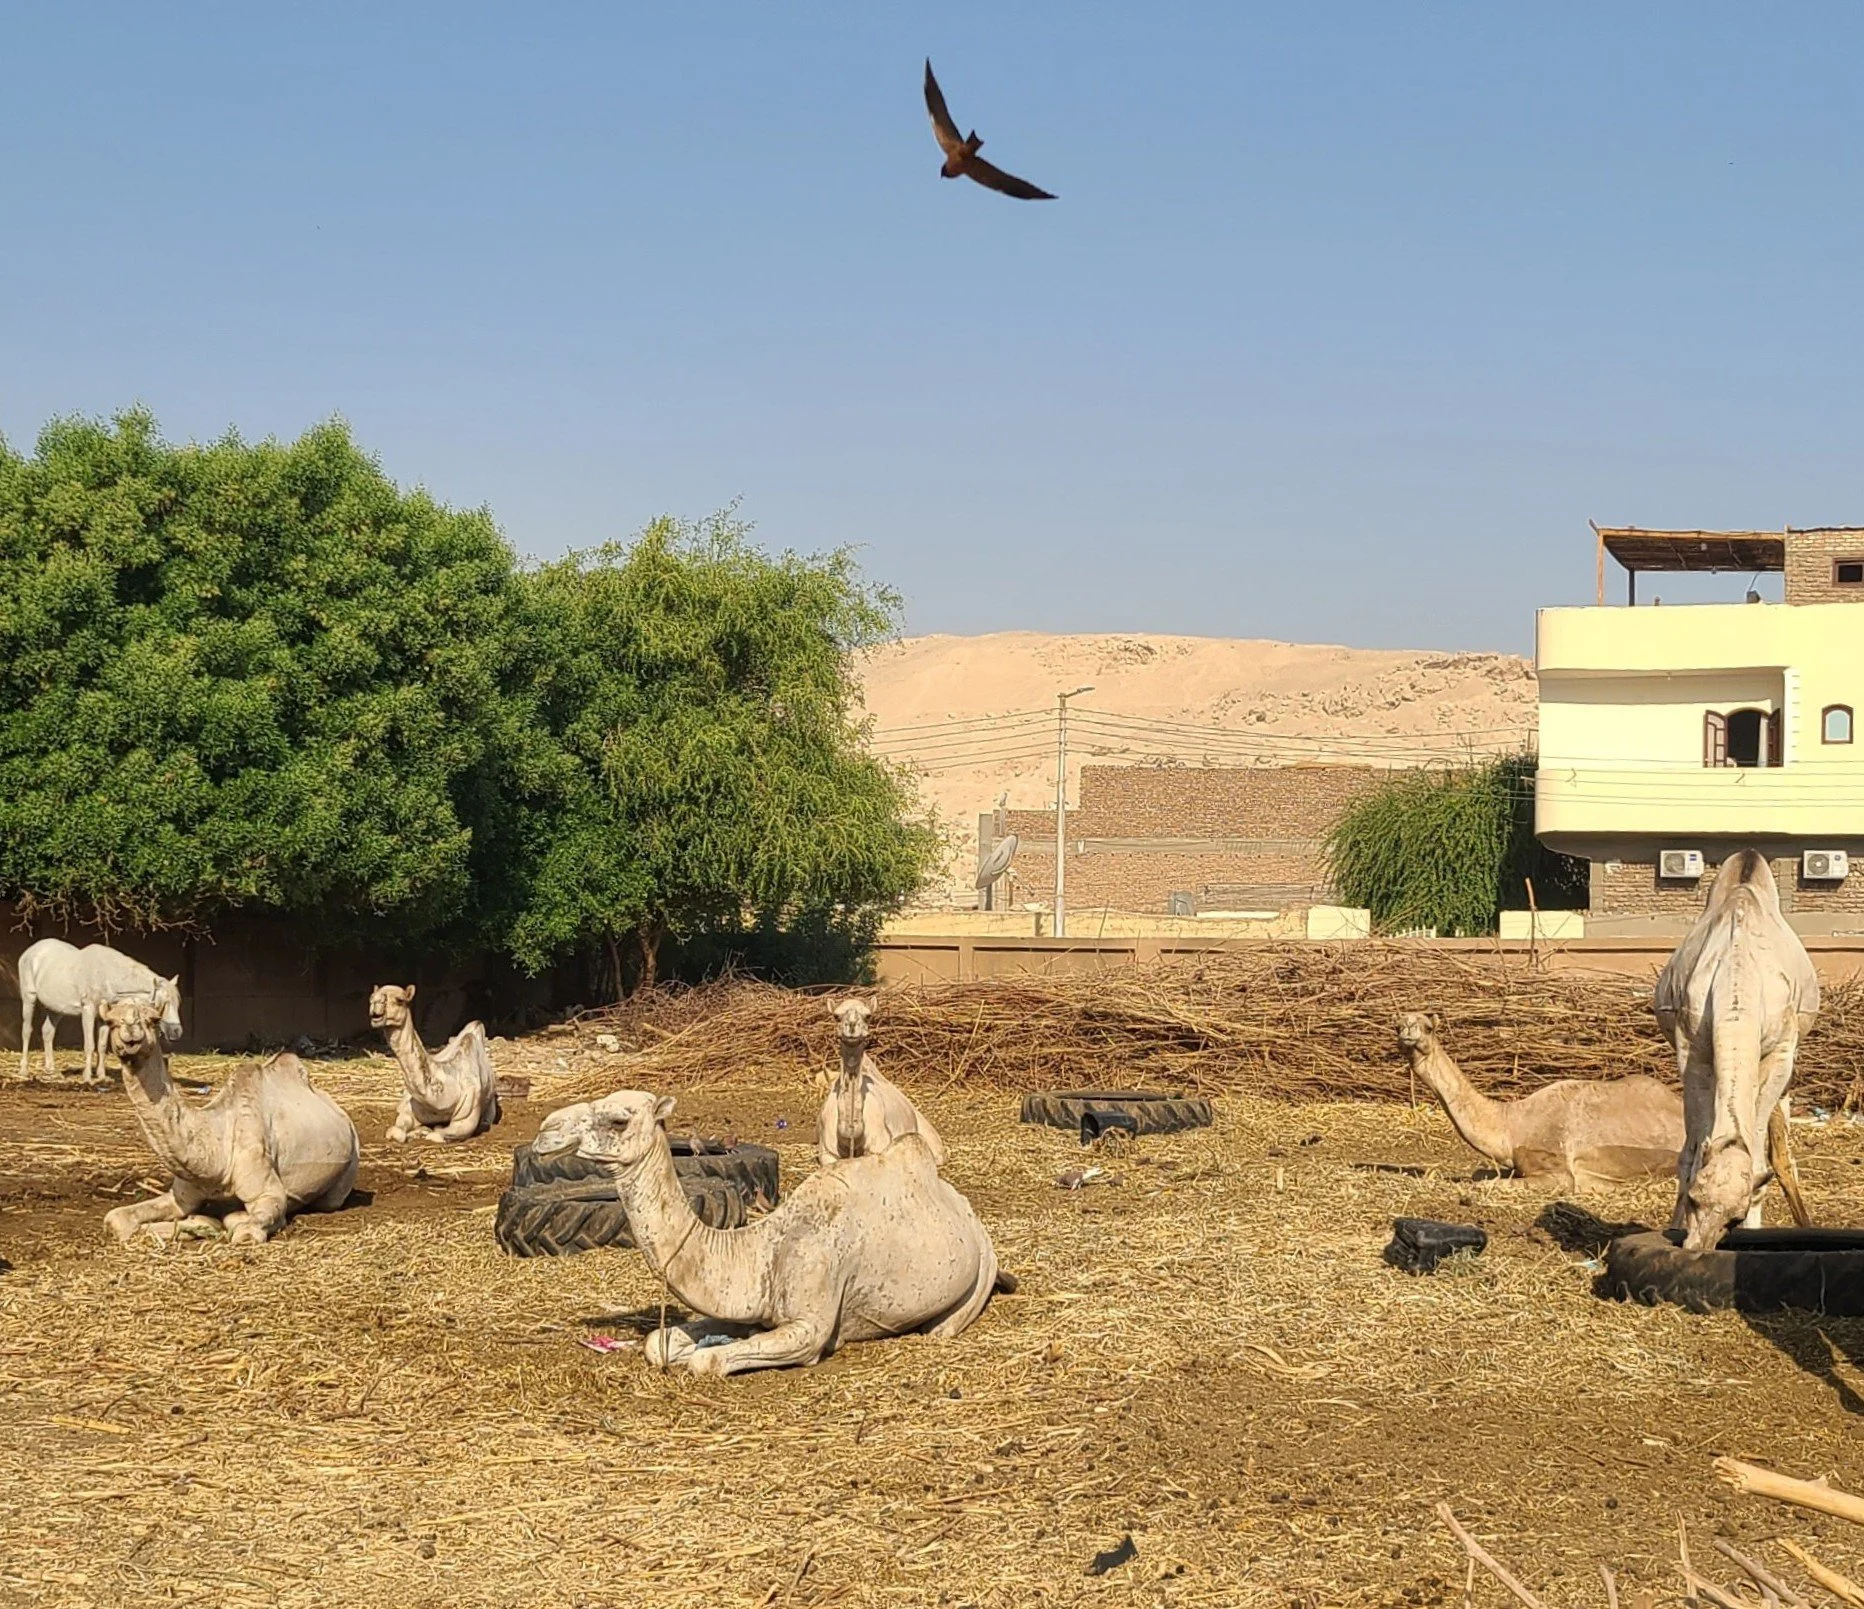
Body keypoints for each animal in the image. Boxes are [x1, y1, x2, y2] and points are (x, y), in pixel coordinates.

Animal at [17, 938, 182, 1084]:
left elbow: (101, 1046)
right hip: (29, 998)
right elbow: (89, 1045)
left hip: (56, 1009)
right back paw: (24, 1071)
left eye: (177, 1002)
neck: (106, 975)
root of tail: (31, 950)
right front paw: (87, 1078)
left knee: (47, 1032)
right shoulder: (88, 1011)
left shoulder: (103, 1017)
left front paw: (102, 1077)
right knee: (26, 1031)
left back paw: (51, 1071)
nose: (176, 1031)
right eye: (163, 1003)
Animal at [99, 999, 359, 1245]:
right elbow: (115, 1218)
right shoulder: (181, 1196)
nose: (131, 1038)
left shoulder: (268, 1192)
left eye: (153, 1021)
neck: (217, 1155)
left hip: (346, 1171)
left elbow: (243, 1226)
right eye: (110, 1022)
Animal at [369, 984, 499, 1144]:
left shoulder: (467, 1112)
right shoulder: (412, 1109)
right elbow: (396, 1131)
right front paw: (416, 1132)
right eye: (371, 997)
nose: (375, 1002)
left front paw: (428, 1130)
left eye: (400, 1000)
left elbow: (437, 1134)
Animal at [534, 1089, 1013, 1376]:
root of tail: (966, 1211)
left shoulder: (809, 1326)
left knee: (945, 1325)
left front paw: (706, 1352)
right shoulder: (746, 1302)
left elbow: (707, 1362)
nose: (545, 1131)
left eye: (618, 1120)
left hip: (979, 1275)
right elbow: (658, 1342)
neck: (760, 1249)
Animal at [1655, 850, 1819, 1250]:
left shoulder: (1780, 1052)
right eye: (1695, 1199)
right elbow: (1689, 1155)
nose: (1696, 1248)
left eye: (1735, 1217)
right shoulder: (1692, 1049)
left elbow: (1759, 1164)